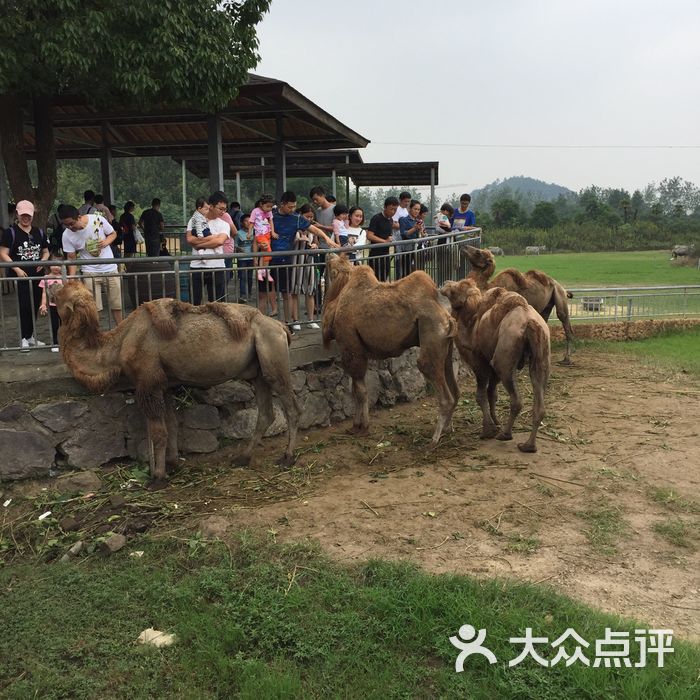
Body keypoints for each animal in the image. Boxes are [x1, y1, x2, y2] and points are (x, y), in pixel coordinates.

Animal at [50, 278, 298, 482]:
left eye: (60, 293)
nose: (51, 285)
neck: (119, 344)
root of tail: (281, 327)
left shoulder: (148, 380)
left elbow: (158, 432)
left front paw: (158, 477)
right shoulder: (164, 384)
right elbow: (171, 425)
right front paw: (172, 463)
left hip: (273, 356)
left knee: (291, 407)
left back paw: (288, 457)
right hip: (258, 371)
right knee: (266, 413)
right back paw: (243, 458)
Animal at [322, 256, 460, 442]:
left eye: (330, 267)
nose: (327, 256)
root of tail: (448, 318)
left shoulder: (351, 347)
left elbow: (360, 391)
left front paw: (362, 427)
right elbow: (356, 389)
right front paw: (356, 426)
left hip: (431, 333)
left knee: (441, 390)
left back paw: (434, 438)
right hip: (446, 347)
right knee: (455, 389)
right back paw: (447, 429)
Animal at [440, 278, 548, 454]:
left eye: (455, 290)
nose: (445, 282)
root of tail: (530, 322)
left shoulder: (479, 362)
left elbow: (480, 395)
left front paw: (488, 430)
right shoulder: (491, 366)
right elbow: (492, 394)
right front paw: (496, 422)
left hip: (504, 356)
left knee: (516, 400)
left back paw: (505, 434)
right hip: (542, 355)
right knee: (539, 399)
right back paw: (528, 446)